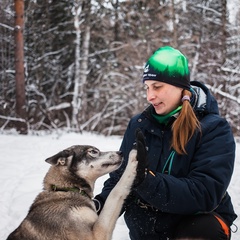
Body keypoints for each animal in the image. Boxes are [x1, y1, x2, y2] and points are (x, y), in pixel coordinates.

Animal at [7, 131, 146, 240]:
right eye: (93, 151)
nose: (120, 152)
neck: (68, 189)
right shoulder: (97, 234)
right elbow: (116, 191)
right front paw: (134, 155)